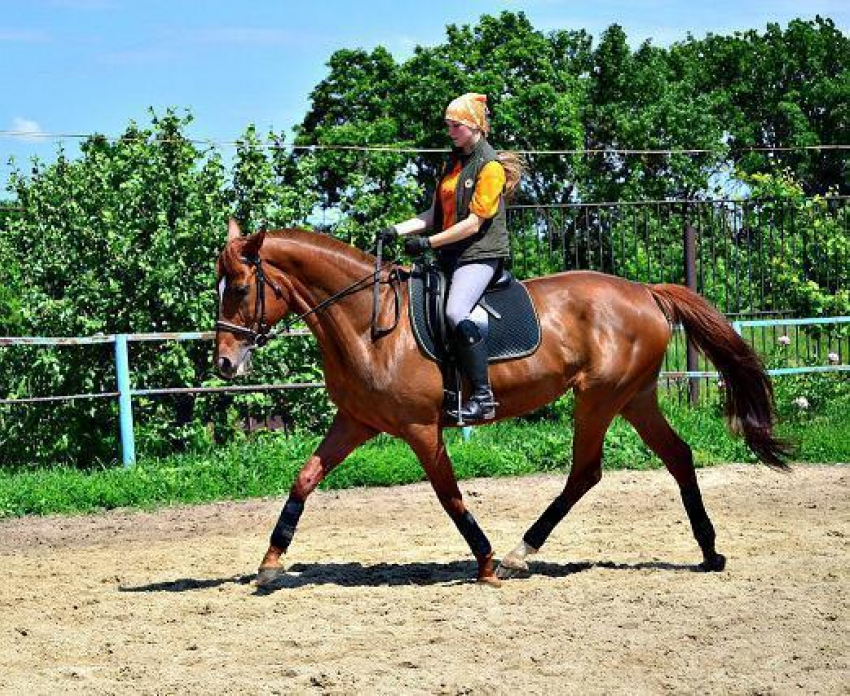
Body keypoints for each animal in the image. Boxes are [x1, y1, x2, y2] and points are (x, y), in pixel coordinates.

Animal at [214, 219, 788, 588]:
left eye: (239, 287)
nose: (223, 364)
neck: (368, 323)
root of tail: (645, 291)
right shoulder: (356, 421)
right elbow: (304, 478)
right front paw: (270, 562)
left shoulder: (421, 429)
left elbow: (450, 497)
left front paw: (486, 562)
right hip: (634, 398)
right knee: (677, 457)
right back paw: (709, 551)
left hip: (600, 398)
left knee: (586, 472)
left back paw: (517, 554)